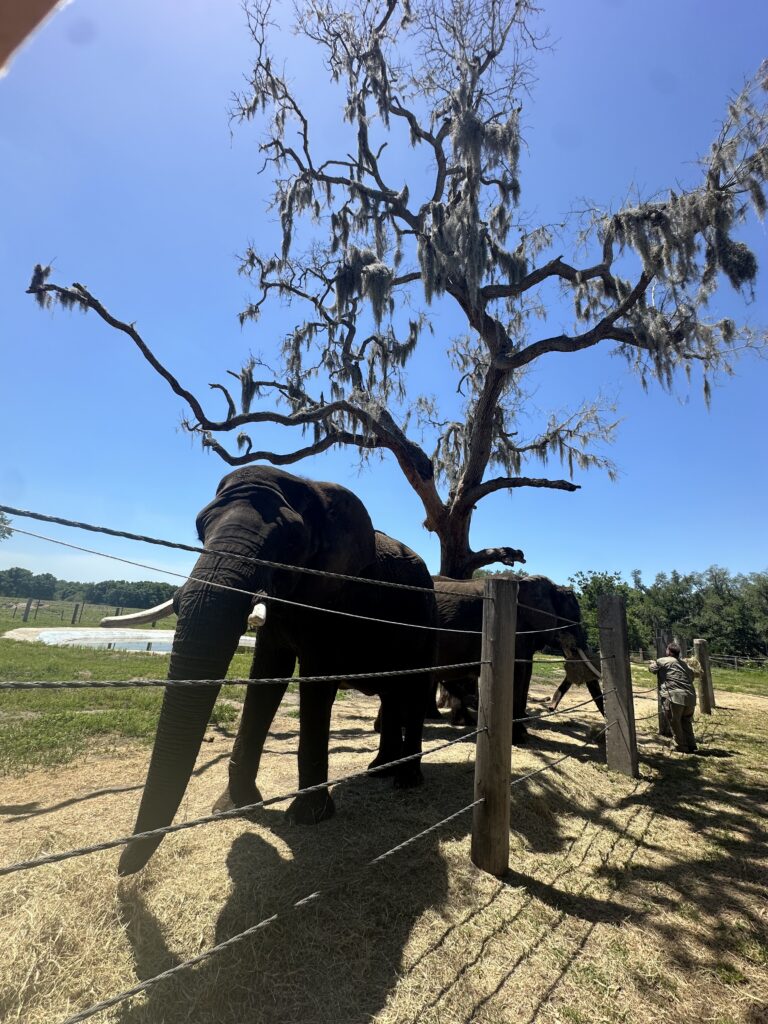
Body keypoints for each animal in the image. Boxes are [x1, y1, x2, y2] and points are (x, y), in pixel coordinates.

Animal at [117, 466, 437, 876]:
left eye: (290, 542)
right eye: (201, 530)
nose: (121, 871)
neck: (312, 489)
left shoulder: (335, 598)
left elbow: (315, 680)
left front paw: (307, 817)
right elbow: (266, 675)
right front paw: (235, 806)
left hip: (427, 617)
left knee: (413, 689)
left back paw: (406, 781)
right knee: (392, 693)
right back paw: (379, 770)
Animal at [431, 575, 602, 742]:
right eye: (573, 618)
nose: (550, 708)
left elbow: (524, 669)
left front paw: (522, 729)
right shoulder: (512, 625)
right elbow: (517, 671)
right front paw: (520, 737)